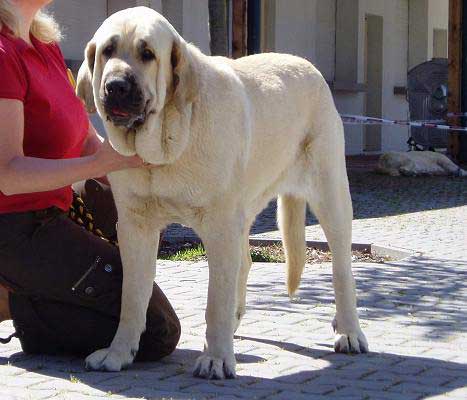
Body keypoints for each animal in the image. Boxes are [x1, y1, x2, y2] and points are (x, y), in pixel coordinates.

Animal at [77, 7, 370, 380]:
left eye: (147, 54)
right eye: (107, 51)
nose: (115, 86)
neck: (168, 144)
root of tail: (309, 67)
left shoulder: (219, 226)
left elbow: (215, 300)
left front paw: (216, 358)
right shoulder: (135, 228)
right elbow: (133, 297)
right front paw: (118, 353)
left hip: (331, 197)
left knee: (341, 269)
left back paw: (349, 331)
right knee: (245, 263)